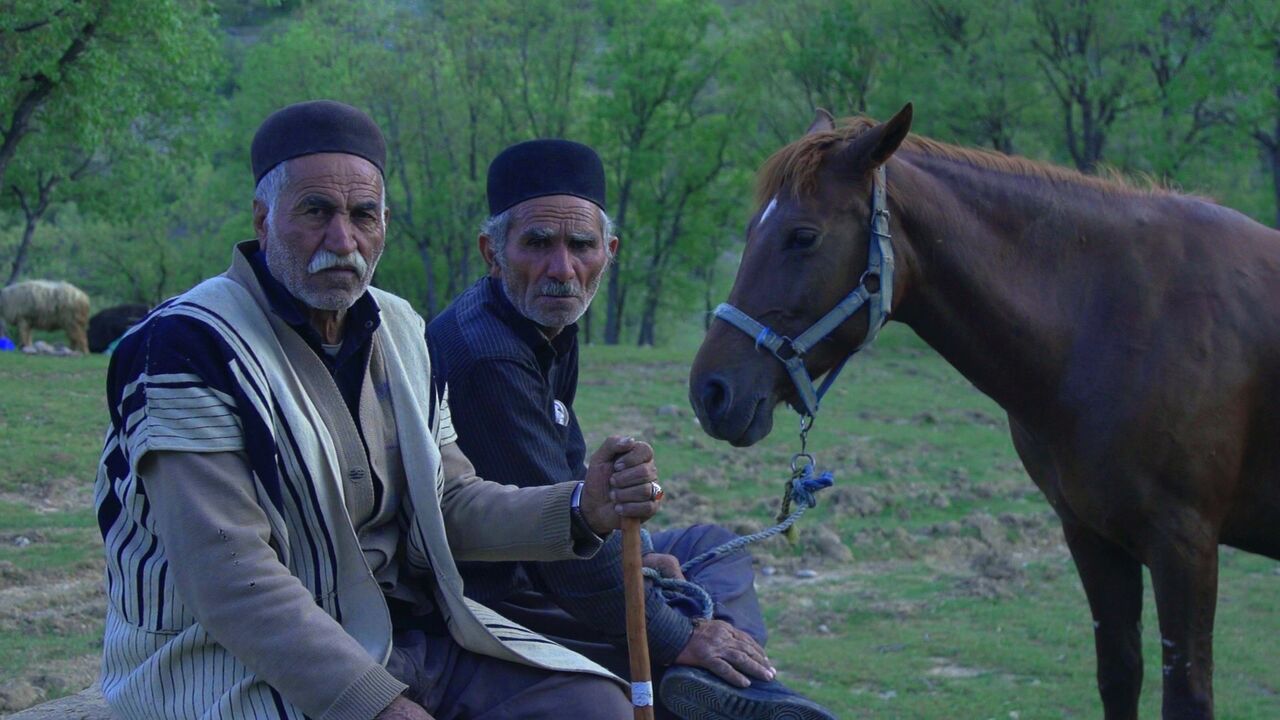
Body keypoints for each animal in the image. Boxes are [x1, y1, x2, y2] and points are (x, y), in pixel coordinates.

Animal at [691, 105, 1280, 717]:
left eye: (803, 236)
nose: (711, 391)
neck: (1115, 318)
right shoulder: (1092, 536)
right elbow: (1119, 675)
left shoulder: (1184, 546)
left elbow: (1187, 695)